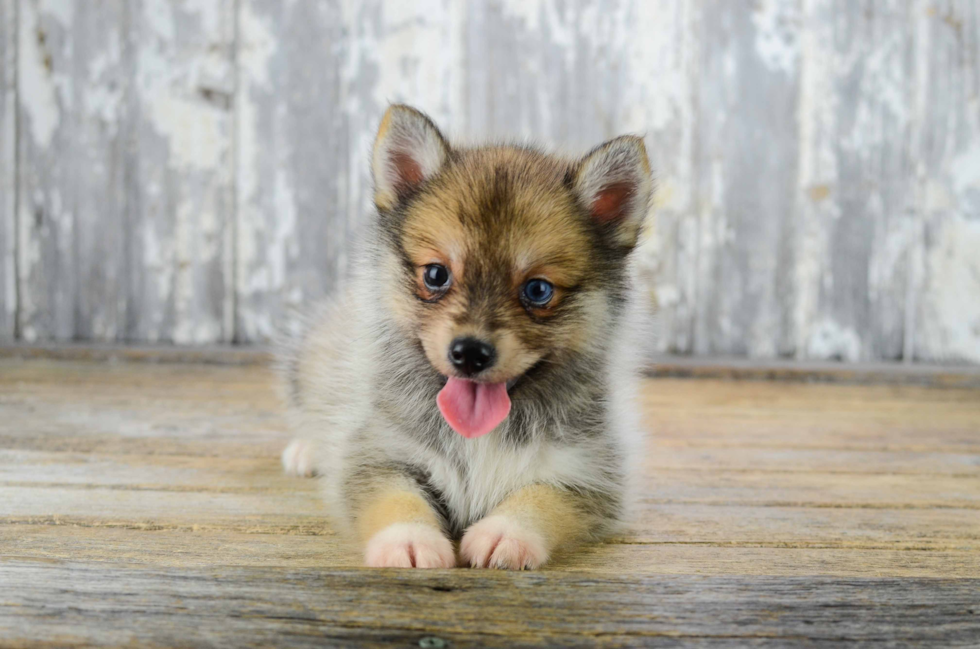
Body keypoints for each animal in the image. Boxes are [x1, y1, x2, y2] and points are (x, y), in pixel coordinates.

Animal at [282, 105, 652, 568]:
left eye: (538, 290)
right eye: (436, 275)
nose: (470, 353)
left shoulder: (589, 475)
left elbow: (541, 500)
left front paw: (506, 534)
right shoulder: (379, 455)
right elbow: (396, 499)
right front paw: (409, 540)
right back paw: (308, 450)